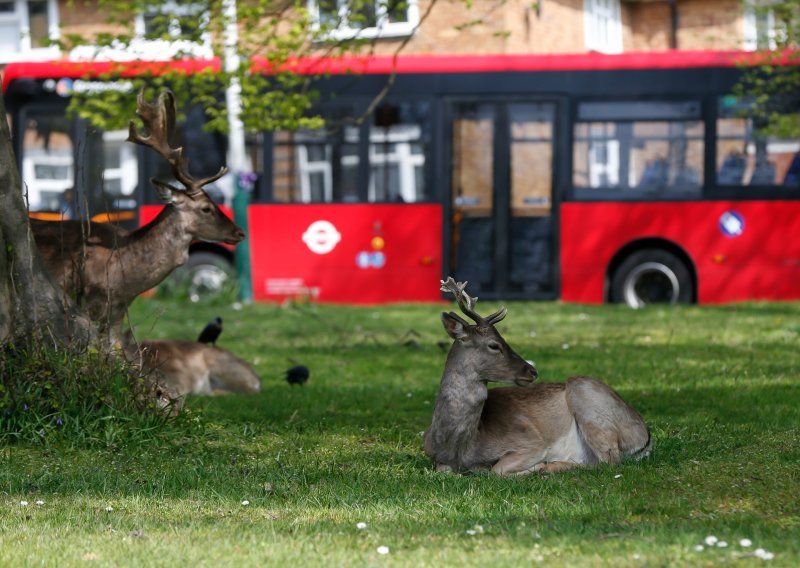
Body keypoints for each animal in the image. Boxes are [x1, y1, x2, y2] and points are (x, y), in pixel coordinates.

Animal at [424, 278, 648, 474]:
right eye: (494, 345)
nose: (531, 370)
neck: (460, 448)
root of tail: (646, 436)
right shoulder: (433, 456)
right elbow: (444, 470)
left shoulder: (532, 442)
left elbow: (497, 470)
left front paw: (538, 467)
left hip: (589, 403)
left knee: (608, 460)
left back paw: (551, 467)